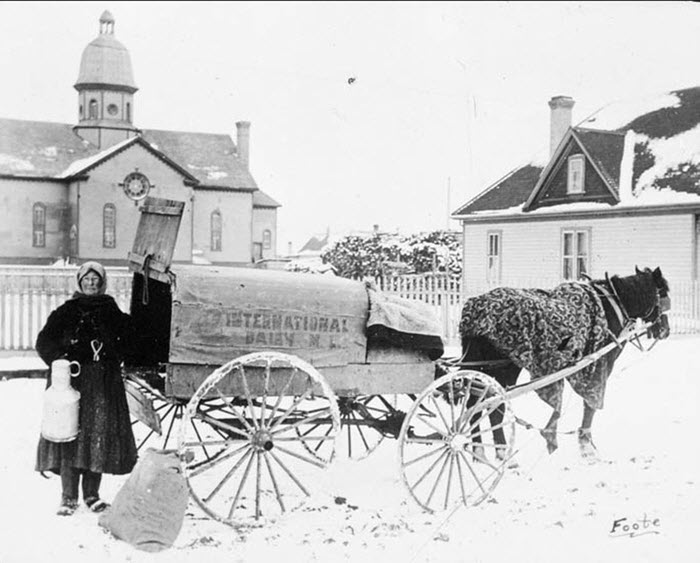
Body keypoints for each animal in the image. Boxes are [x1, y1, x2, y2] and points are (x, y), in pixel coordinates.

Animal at [456, 266, 668, 460]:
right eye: (664, 292)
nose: (665, 330)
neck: (613, 303)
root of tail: (475, 310)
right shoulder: (600, 366)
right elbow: (590, 405)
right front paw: (586, 445)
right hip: (504, 369)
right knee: (493, 407)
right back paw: (500, 451)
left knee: (475, 403)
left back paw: (479, 450)